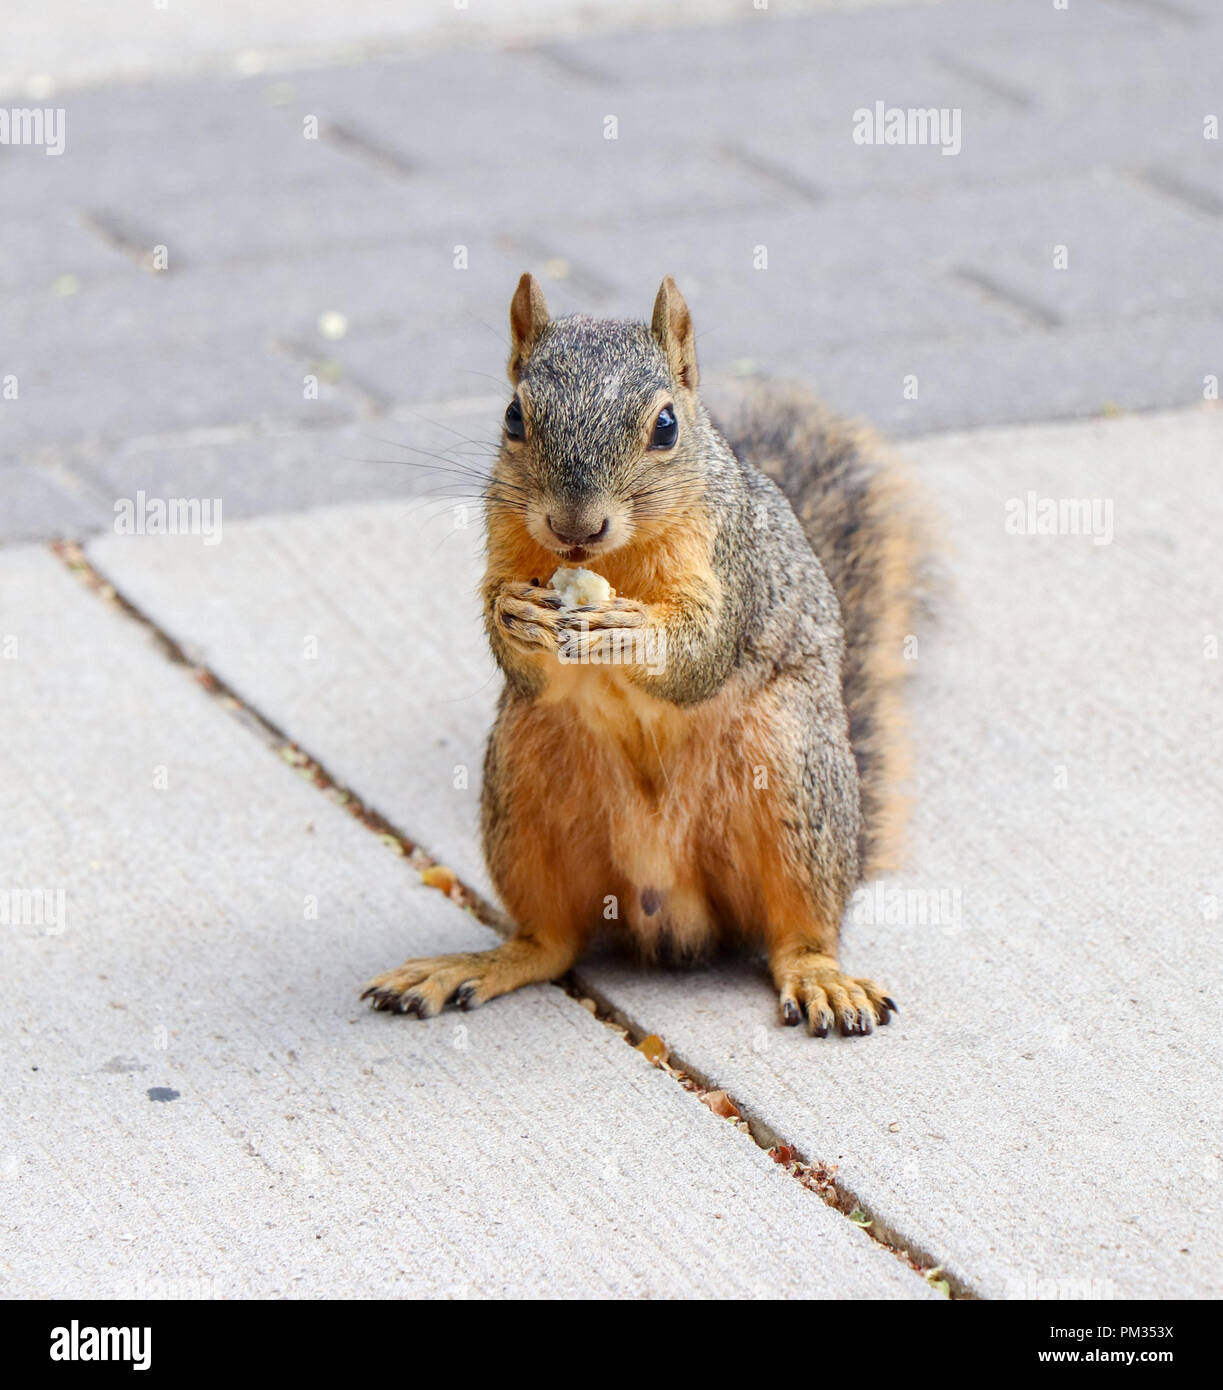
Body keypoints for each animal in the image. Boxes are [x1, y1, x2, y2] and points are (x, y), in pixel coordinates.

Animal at [364, 274, 924, 1037]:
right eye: (513, 417)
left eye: (666, 426)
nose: (574, 526)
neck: (609, 560)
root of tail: (671, 900)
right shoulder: (504, 540)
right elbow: (508, 640)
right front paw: (514, 617)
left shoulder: (729, 562)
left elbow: (703, 651)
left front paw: (628, 631)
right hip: (524, 784)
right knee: (550, 942)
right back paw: (473, 965)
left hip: (790, 771)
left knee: (799, 930)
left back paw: (822, 977)